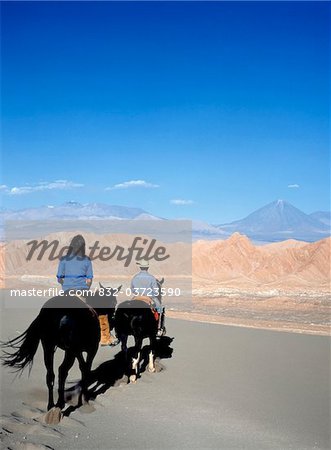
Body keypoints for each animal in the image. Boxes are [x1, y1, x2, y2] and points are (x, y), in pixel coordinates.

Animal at [0, 286, 120, 424]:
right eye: (114, 302)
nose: (113, 320)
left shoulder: (77, 351)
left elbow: (82, 367)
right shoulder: (90, 350)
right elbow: (85, 370)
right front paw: (84, 399)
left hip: (48, 346)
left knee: (50, 375)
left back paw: (51, 405)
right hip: (69, 351)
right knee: (62, 370)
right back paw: (60, 404)